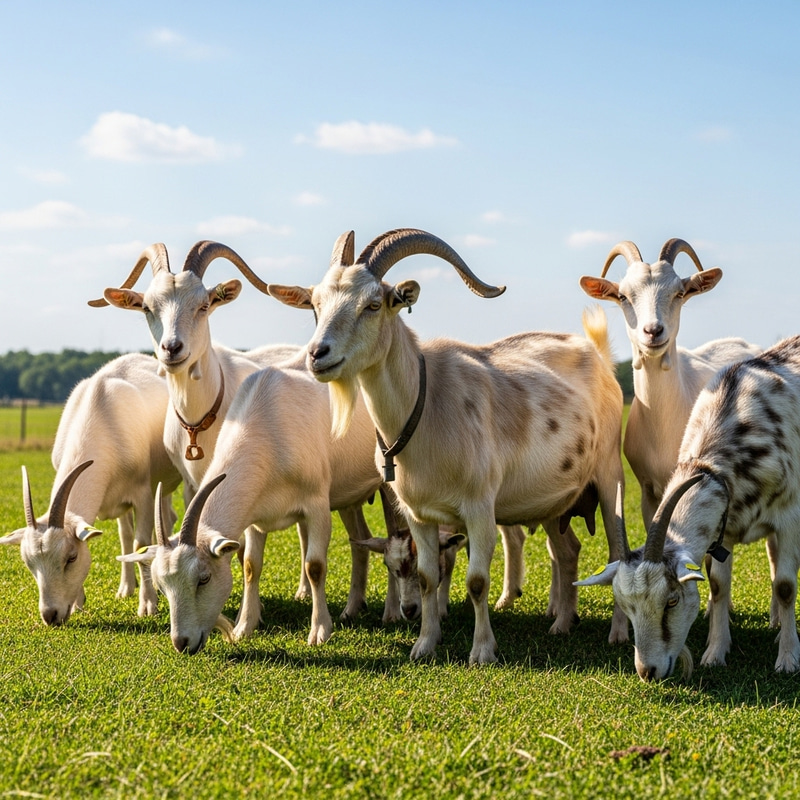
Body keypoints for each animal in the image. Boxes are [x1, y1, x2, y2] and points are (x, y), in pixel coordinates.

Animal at [0, 353, 181, 622]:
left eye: (71, 558)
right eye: (29, 563)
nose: (50, 615)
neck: (101, 416)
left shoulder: (142, 495)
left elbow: (140, 544)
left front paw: (148, 605)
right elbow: (122, 539)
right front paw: (78, 603)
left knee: (165, 520)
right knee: (126, 534)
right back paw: (126, 588)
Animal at [119, 360, 382, 653]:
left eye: (204, 578)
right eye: (163, 586)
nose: (182, 643)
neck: (269, 426)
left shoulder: (316, 504)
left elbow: (314, 566)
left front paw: (320, 631)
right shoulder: (255, 516)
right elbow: (249, 565)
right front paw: (244, 627)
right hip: (350, 498)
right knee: (360, 540)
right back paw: (353, 608)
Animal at [267, 228, 626, 664]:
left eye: (373, 304)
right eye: (316, 305)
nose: (317, 355)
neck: (427, 409)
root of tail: (599, 358)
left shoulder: (480, 508)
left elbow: (476, 580)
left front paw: (483, 651)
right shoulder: (419, 514)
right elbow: (427, 576)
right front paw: (424, 644)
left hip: (609, 477)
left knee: (617, 551)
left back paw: (618, 634)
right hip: (553, 500)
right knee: (569, 549)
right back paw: (561, 623)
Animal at [577, 336, 800, 679]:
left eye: (671, 601)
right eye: (627, 607)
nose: (647, 671)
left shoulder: (789, 515)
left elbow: (786, 586)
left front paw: (787, 660)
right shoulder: (725, 526)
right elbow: (719, 585)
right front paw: (715, 653)